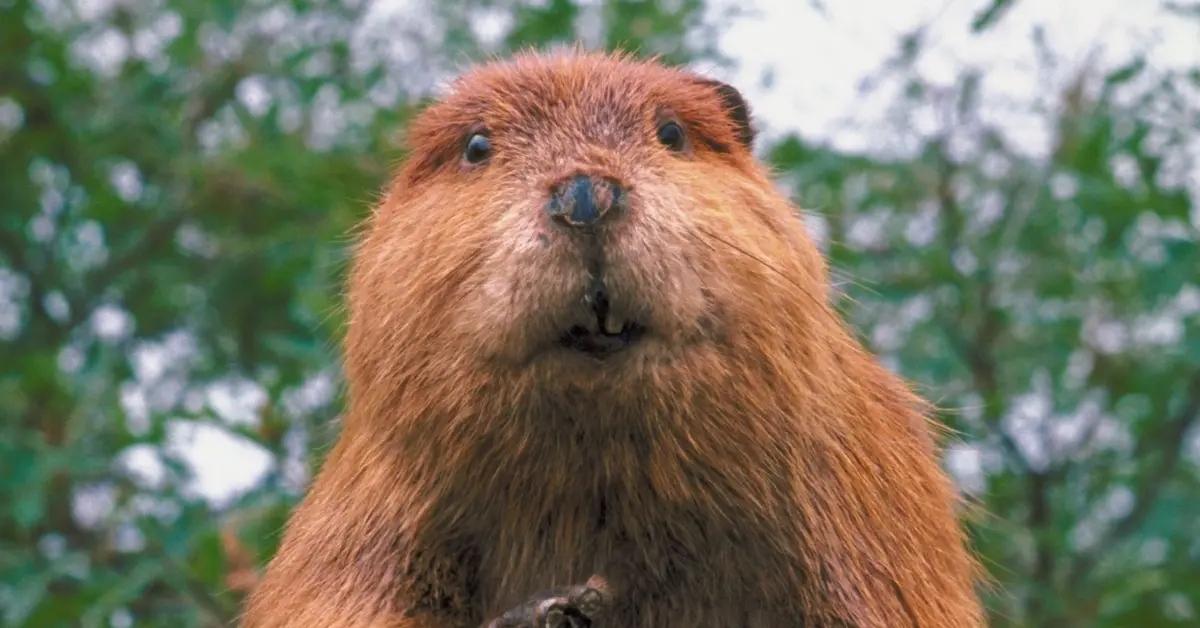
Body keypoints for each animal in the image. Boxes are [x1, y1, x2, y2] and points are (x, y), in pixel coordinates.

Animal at [241, 51, 974, 624]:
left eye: (671, 132)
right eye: (477, 147)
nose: (586, 196)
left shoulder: (863, 500)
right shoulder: (363, 515)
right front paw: (548, 610)